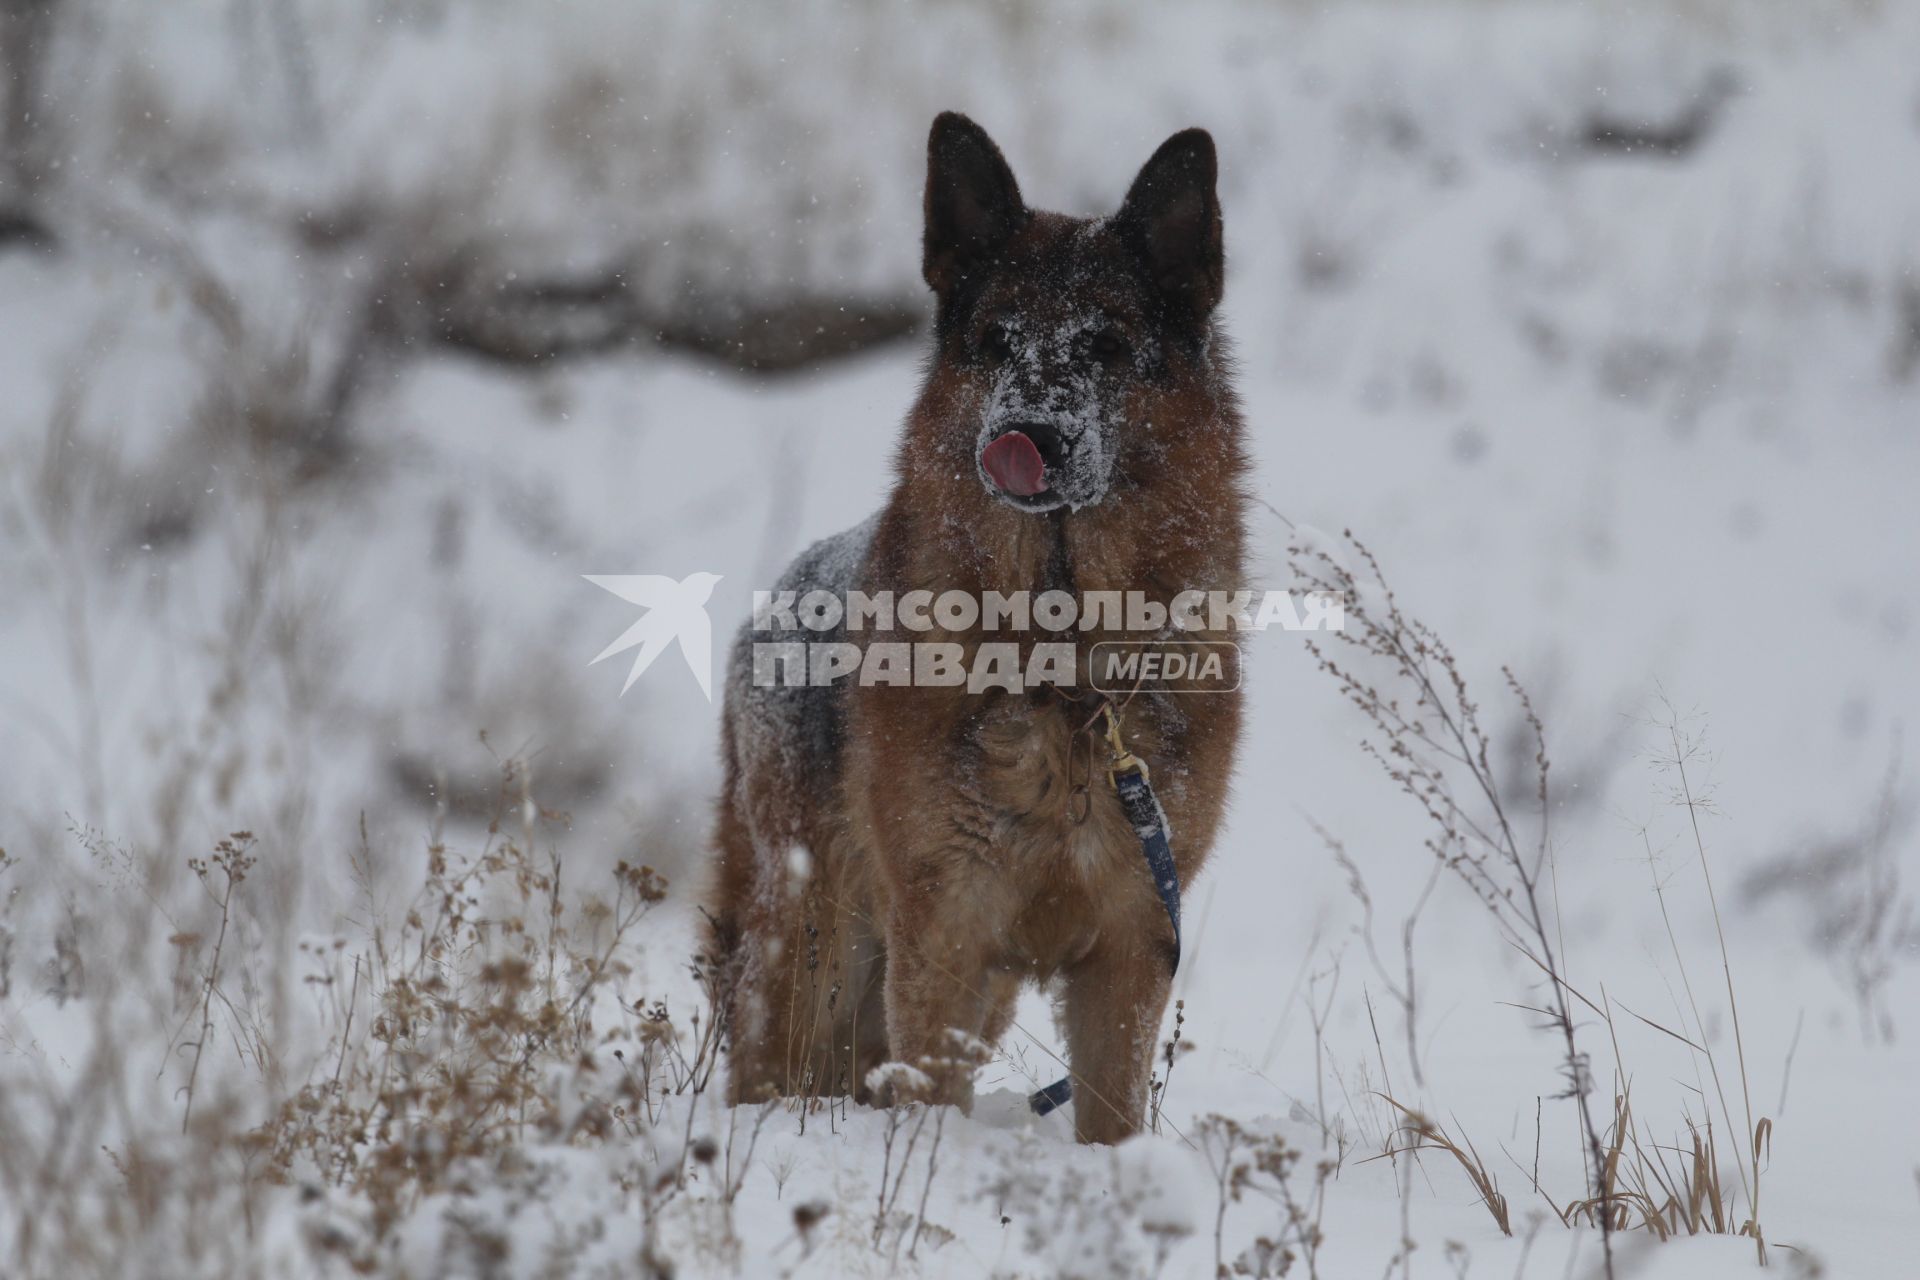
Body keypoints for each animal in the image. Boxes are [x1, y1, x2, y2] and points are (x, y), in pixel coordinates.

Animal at [710, 115, 1244, 1143]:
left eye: (1105, 346)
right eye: (997, 341)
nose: (1025, 434)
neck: (1065, 666)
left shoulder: (1129, 948)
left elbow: (1112, 1120)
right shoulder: (945, 927)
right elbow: (927, 1099)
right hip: (815, 950)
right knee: (774, 1064)